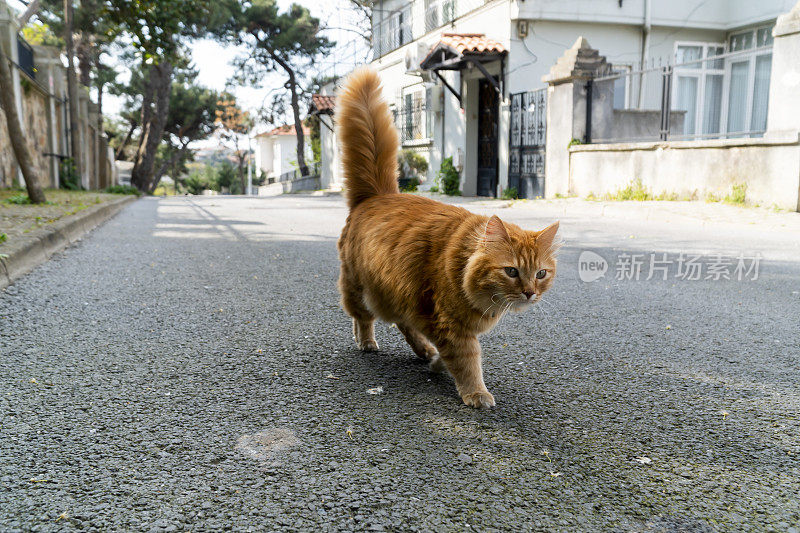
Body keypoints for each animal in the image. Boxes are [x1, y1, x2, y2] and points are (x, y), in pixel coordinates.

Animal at [334, 66, 560, 408]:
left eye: (541, 274)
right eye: (511, 271)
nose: (530, 293)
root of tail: (377, 195)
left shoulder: (439, 321)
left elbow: (450, 354)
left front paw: (436, 363)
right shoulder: (450, 325)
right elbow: (468, 361)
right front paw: (476, 393)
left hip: (398, 295)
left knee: (403, 324)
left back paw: (422, 351)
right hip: (361, 288)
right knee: (362, 318)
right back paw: (366, 341)